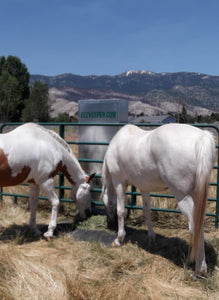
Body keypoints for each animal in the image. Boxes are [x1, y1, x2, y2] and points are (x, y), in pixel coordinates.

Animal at [102, 122, 216, 276]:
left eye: (106, 204)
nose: (110, 223)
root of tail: (201, 137)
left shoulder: (119, 182)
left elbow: (120, 210)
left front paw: (119, 239)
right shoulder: (143, 187)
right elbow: (147, 211)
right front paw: (151, 238)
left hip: (183, 196)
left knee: (194, 226)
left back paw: (199, 269)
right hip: (196, 196)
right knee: (199, 225)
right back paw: (191, 260)